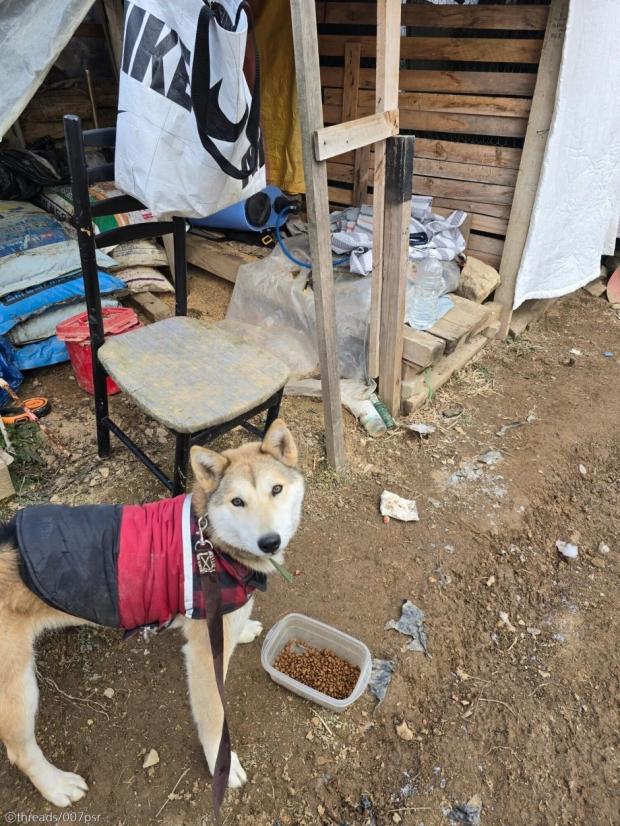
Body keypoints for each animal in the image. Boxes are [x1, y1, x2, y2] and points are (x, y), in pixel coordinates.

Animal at [0, 418, 302, 804]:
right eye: (238, 502)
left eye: (276, 489)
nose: (270, 542)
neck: (211, 541)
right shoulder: (204, 658)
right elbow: (214, 718)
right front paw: (221, 764)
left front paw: (245, 629)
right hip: (18, 689)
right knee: (19, 751)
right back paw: (56, 786)